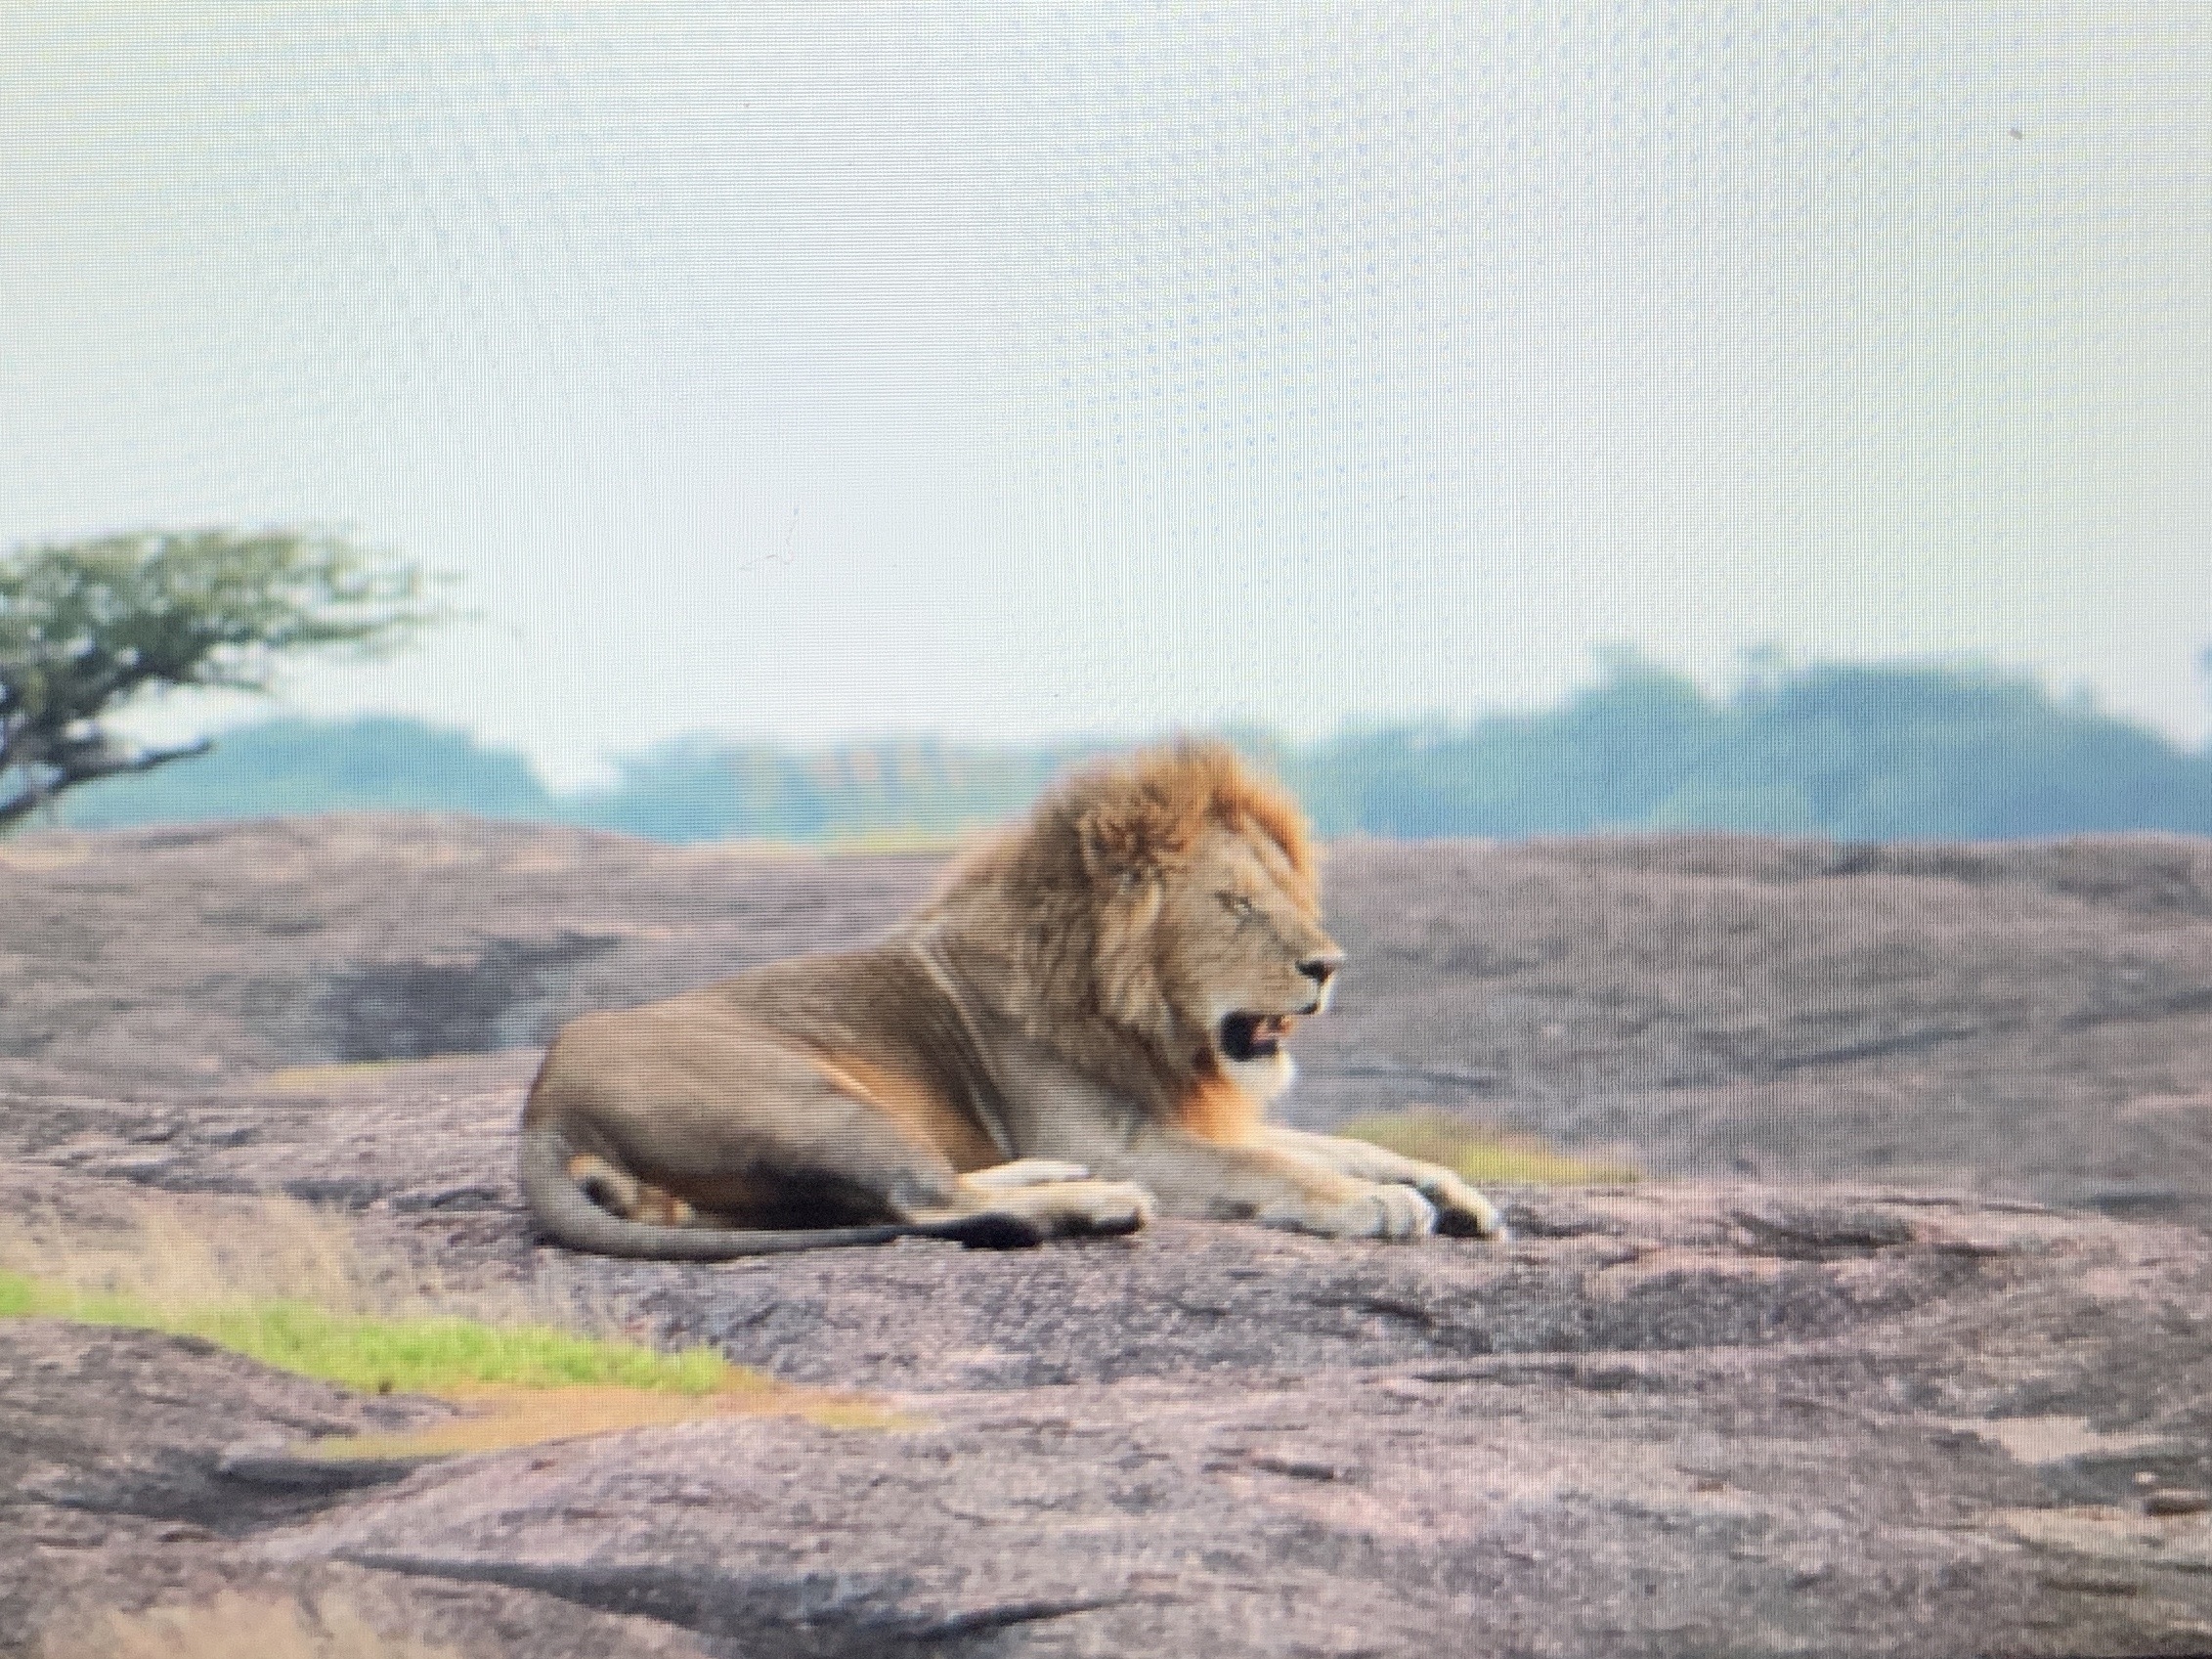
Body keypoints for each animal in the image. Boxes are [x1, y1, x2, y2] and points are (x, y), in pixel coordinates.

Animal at [519, 740, 1506, 1257]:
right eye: (1234, 904)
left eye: (1290, 892)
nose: (1328, 964)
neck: (1145, 1025)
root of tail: (544, 1100)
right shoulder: (1121, 1135)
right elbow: (1269, 1166)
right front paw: (1370, 1203)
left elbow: (1339, 1143)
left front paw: (1448, 1188)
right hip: (811, 1097)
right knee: (919, 1200)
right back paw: (1094, 1201)